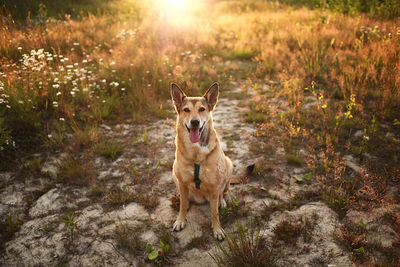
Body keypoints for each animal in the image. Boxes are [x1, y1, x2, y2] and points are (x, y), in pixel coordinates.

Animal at [170, 82, 233, 241]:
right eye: (186, 110)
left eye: (202, 109)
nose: (194, 122)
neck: (196, 152)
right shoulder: (182, 182)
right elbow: (182, 206)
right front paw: (180, 220)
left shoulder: (214, 186)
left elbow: (214, 213)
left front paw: (217, 230)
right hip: (174, 173)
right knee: (185, 200)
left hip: (228, 164)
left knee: (222, 192)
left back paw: (221, 202)